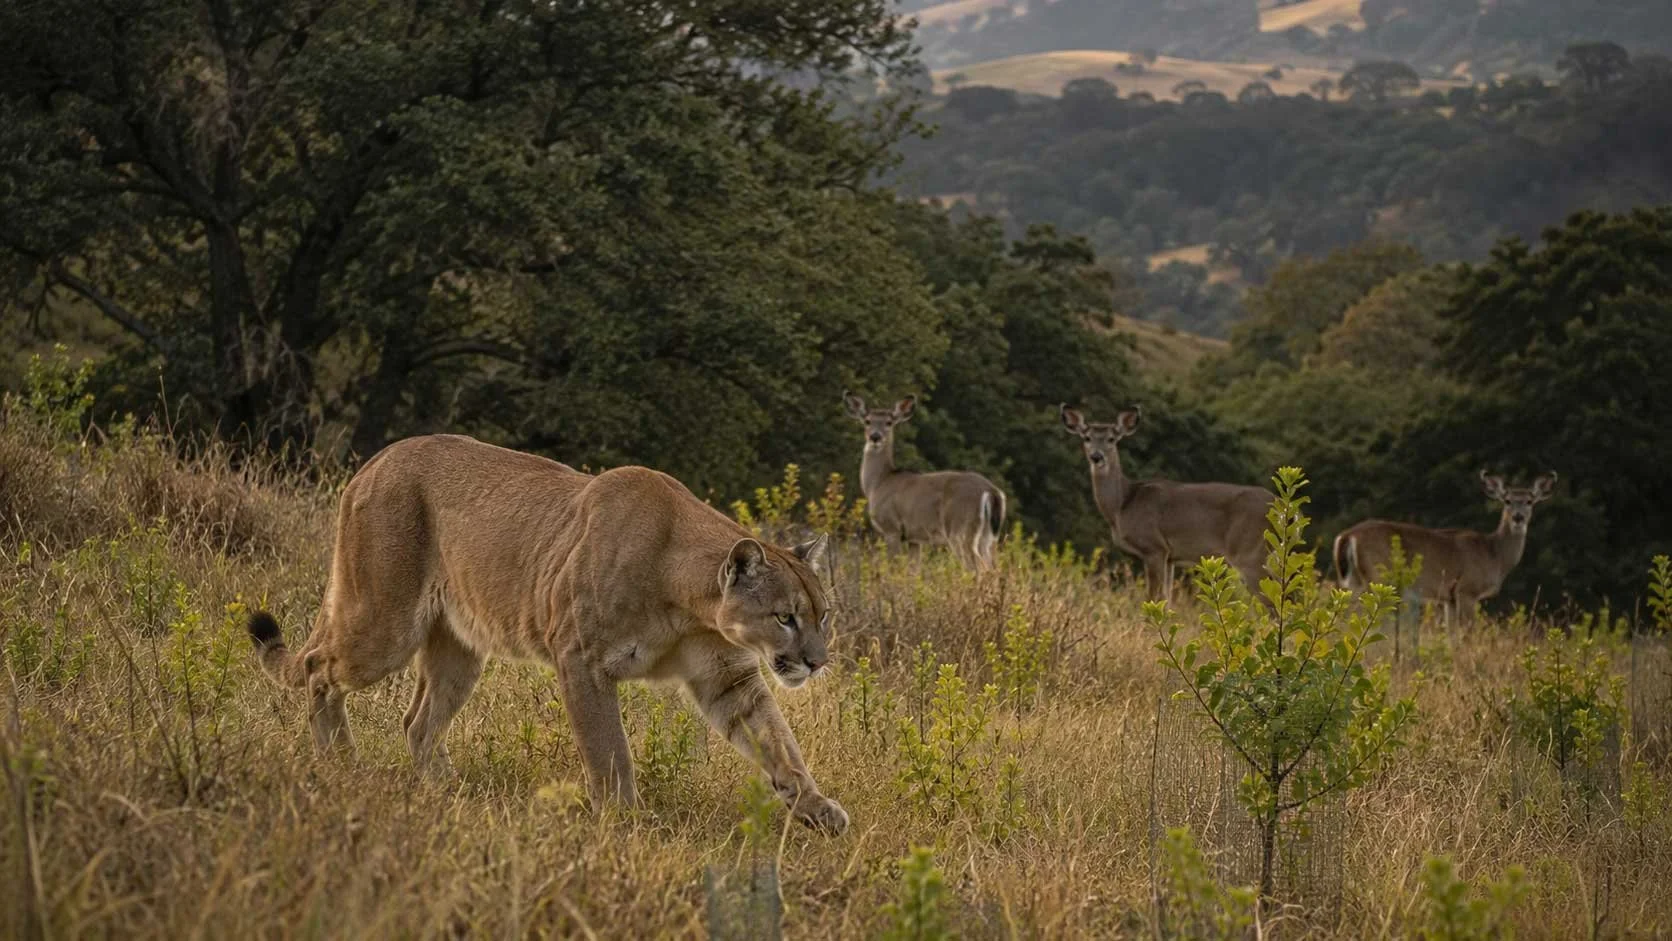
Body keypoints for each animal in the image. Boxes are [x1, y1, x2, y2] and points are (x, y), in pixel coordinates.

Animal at [246, 434, 847, 833]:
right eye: (785, 617)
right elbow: (608, 749)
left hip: (459, 648)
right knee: (318, 668)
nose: (817, 662)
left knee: (417, 722)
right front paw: (624, 821)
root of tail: (374, 460)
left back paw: (447, 791)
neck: (690, 602)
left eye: (822, 616)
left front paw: (816, 807)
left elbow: (778, 741)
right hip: (384, 622)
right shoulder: (581, 658)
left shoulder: (728, 678)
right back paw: (343, 765)